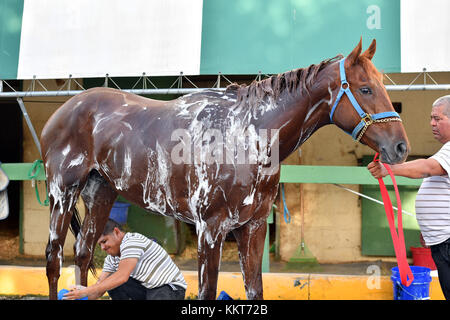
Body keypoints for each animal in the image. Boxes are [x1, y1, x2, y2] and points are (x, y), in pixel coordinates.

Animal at [43, 39, 412, 300]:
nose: (400, 147)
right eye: (365, 89)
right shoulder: (210, 229)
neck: (246, 135)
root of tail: (63, 111)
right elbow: (206, 291)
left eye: (382, 85)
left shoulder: (253, 227)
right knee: (54, 258)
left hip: (100, 194)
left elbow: (255, 289)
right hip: (62, 193)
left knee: (83, 253)